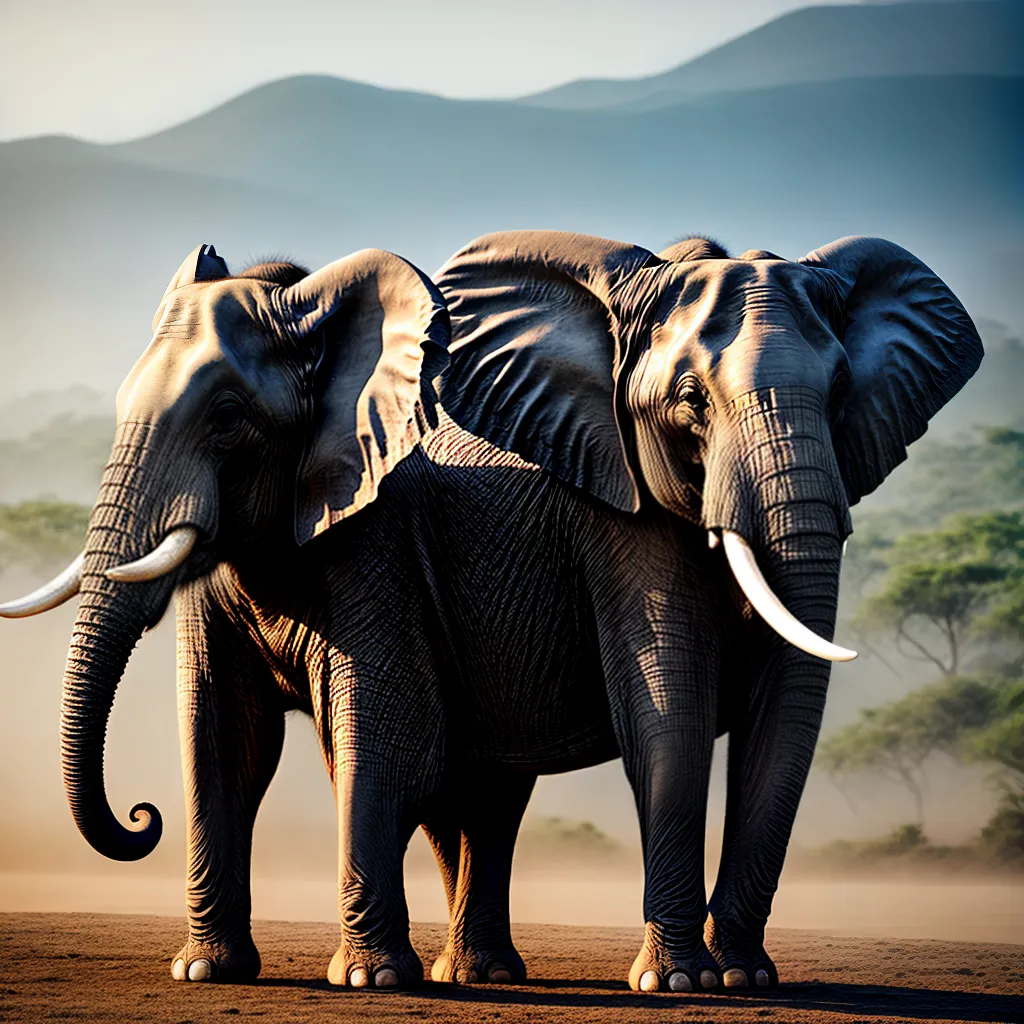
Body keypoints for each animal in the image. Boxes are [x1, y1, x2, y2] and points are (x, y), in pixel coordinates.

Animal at [0, 228, 981, 996]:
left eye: (230, 416)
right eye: (691, 401)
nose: (138, 820)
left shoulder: (400, 541)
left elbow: (656, 713)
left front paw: (700, 983)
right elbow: (226, 737)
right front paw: (209, 972)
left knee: (482, 785)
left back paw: (489, 975)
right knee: (475, 786)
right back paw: (477, 975)